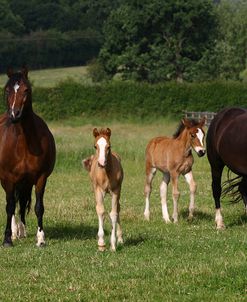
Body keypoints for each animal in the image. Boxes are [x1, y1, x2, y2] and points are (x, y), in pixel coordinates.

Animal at [0, 67, 55, 247]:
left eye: (26, 90)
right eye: (7, 90)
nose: (14, 114)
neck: (24, 143)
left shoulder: (40, 177)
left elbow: (38, 207)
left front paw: (41, 239)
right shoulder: (7, 178)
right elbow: (9, 207)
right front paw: (7, 239)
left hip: (25, 181)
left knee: (22, 203)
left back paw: (22, 231)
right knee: (12, 204)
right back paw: (14, 232)